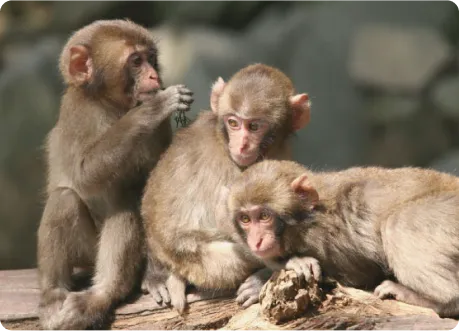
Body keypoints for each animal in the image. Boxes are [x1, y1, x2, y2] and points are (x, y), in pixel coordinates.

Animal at [36, 19, 193, 330]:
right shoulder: (78, 113)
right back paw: (56, 293)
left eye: (151, 58)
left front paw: (156, 275)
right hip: (86, 253)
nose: (154, 76)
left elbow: (154, 192)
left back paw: (103, 294)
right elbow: (84, 174)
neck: (112, 105)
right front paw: (153, 108)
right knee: (65, 200)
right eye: (136, 61)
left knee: (124, 208)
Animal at [141, 63, 312, 312]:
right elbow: (231, 219)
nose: (241, 145)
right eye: (233, 123)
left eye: (254, 126)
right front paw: (286, 262)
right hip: (200, 265)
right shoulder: (229, 169)